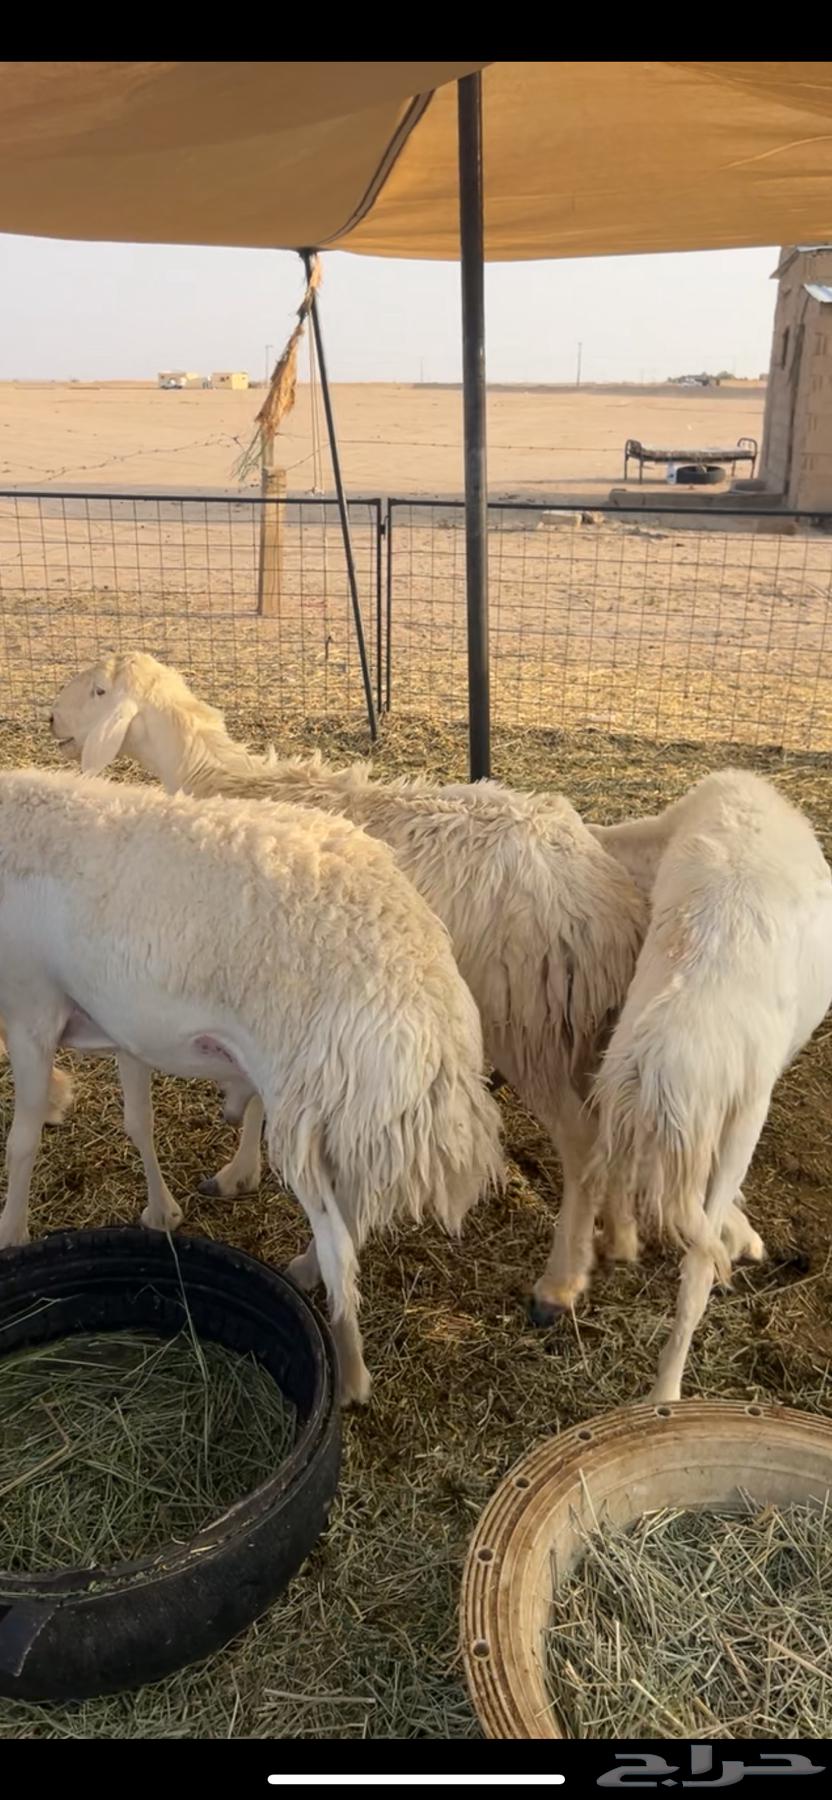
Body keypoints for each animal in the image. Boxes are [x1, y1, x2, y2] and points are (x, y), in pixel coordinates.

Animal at [0, 767, 504, 1404]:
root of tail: (423, 990)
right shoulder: (124, 1027)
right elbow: (138, 1123)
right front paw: (161, 1213)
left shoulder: (30, 1009)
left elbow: (22, 1142)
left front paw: (12, 1233)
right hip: (352, 1112)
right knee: (351, 1219)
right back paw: (310, 1276)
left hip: (308, 1097)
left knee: (342, 1250)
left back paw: (350, 1373)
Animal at [49, 652, 649, 1314]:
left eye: (98, 690)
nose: (51, 719)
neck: (214, 776)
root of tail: (597, 893)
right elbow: (254, 1091)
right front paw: (241, 1168)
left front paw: (238, 1169)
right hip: (582, 1023)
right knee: (614, 1129)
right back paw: (617, 1236)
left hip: (529, 1024)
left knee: (582, 1145)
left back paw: (560, 1282)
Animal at [581, 768, 832, 1402]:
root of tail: (666, 1069)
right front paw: (746, 1239)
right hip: (742, 1111)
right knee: (697, 1258)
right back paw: (665, 1395)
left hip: (622, 1102)